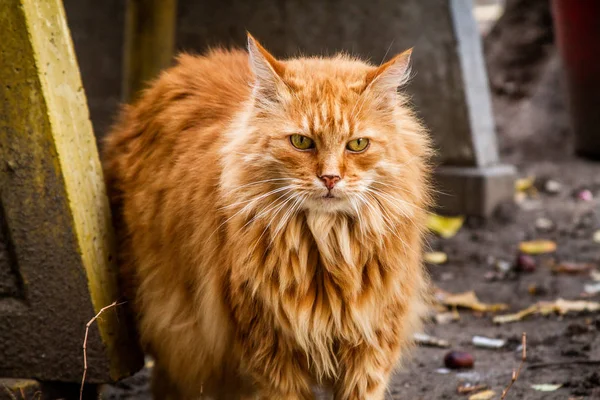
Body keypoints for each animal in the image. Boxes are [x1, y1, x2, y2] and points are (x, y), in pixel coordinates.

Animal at [103, 35, 432, 400]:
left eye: (358, 144)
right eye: (301, 141)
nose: (330, 178)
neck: (327, 250)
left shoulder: (371, 346)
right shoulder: (270, 349)